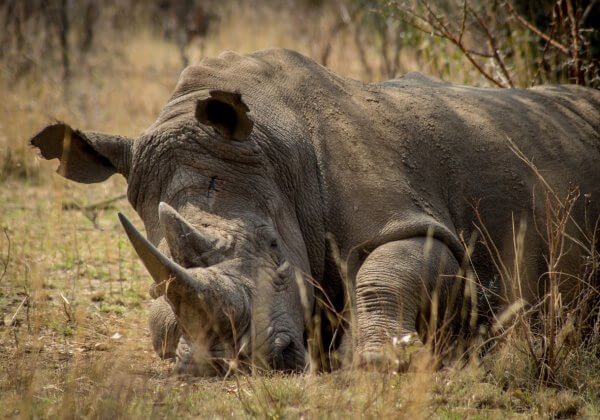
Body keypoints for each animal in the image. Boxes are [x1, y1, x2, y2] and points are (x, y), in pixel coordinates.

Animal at [29, 49, 600, 374]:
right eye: (154, 280)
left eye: (277, 251)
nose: (237, 363)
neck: (278, 149)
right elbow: (160, 324)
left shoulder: (414, 221)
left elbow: (384, 270)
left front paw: (376, 360)